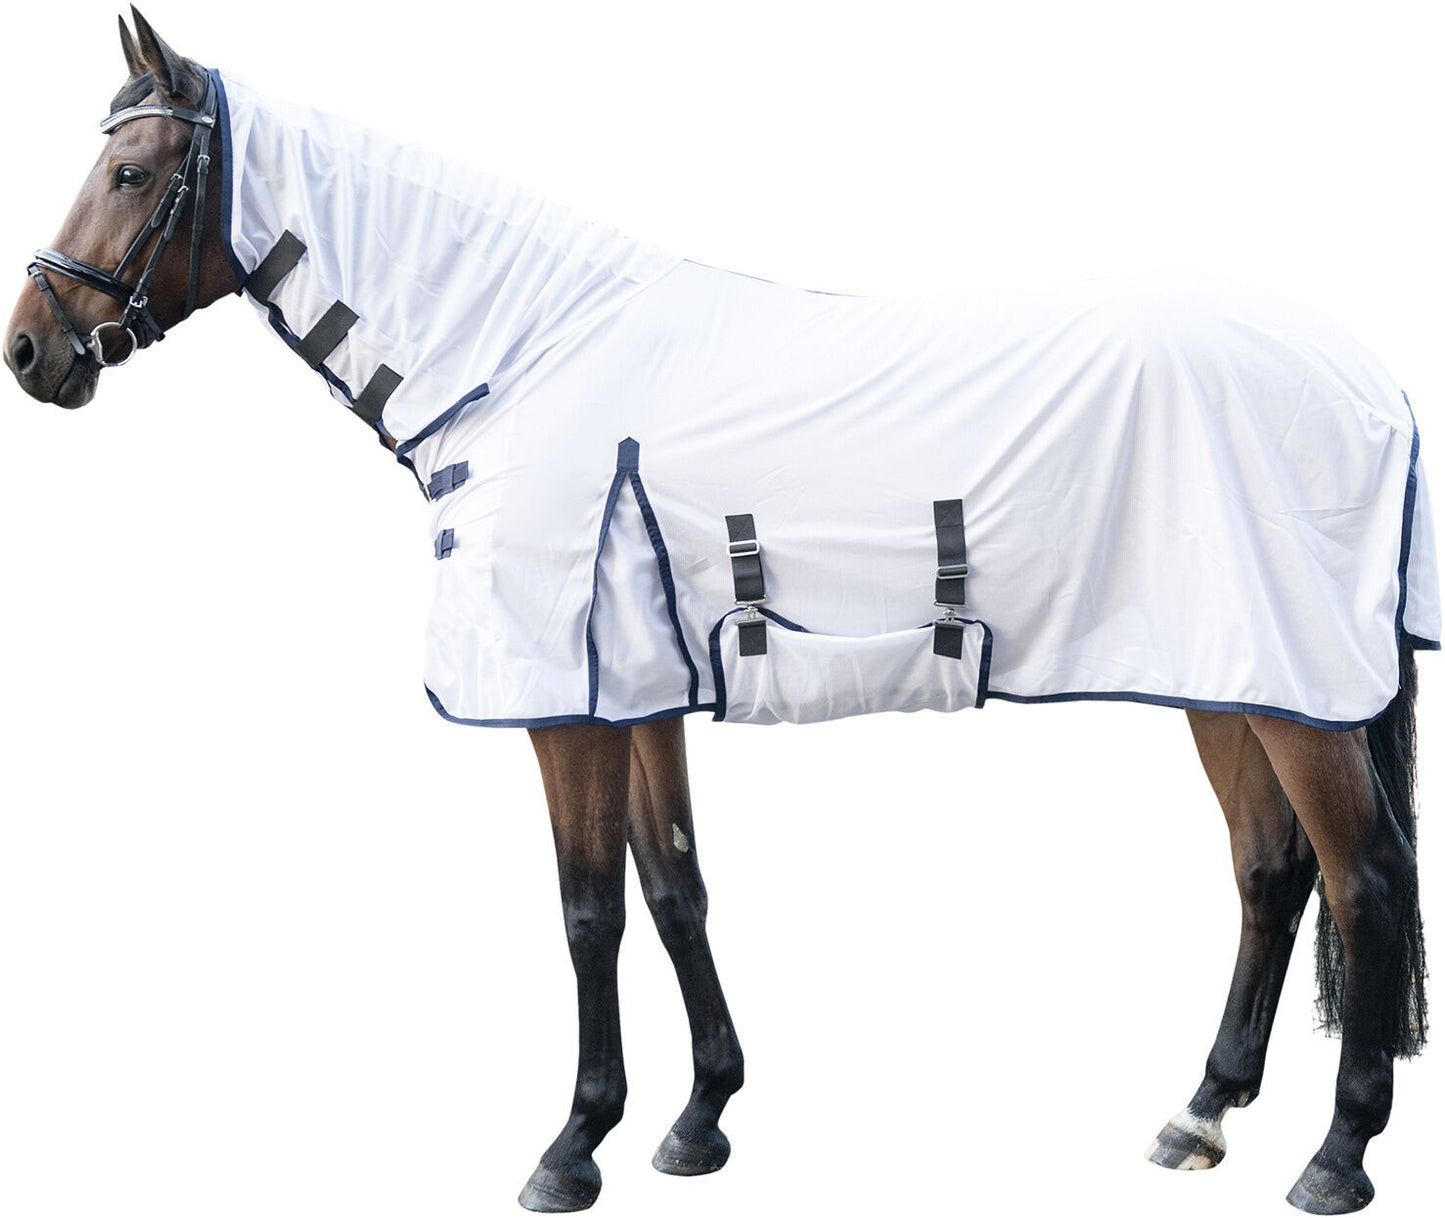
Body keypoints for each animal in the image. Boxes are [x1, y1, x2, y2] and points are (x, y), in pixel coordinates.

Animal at [3, 10, 1437, 1215]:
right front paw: (698, 1121)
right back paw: (1199, 1112)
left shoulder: (566, 710)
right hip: (1228, 679)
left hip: (1289, 692)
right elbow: (675, 887)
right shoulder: (636, 690)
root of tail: (1367, 382)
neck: (528, 358)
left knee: (1362, 878)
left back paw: (1334, 1157)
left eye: (130, 173)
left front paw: (571, 1147)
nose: (30, 350)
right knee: (1269, 868)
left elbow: (587, 909)